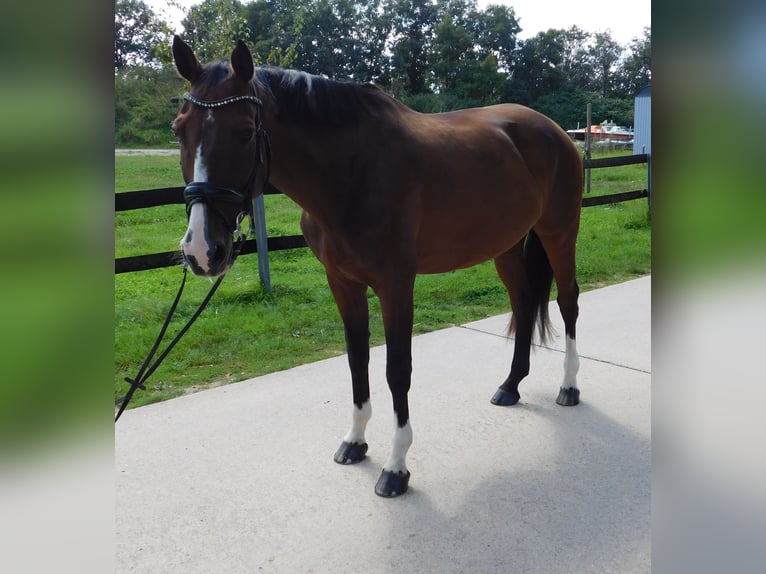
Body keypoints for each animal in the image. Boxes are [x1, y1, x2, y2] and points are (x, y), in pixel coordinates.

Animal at [171, 37, 584, 500]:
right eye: (178, 130)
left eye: (244, 131)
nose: (202, 250)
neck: (352, 172)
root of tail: (555, 131)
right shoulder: (343, 282)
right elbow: (357, 360)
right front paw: (355, 442)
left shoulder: (396, 284)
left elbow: (397, 370)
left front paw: (396, 466)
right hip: (507, 247)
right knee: (525, 301)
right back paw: (511, 385)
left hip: (559, 232)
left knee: (568, 301)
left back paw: (569, 387)